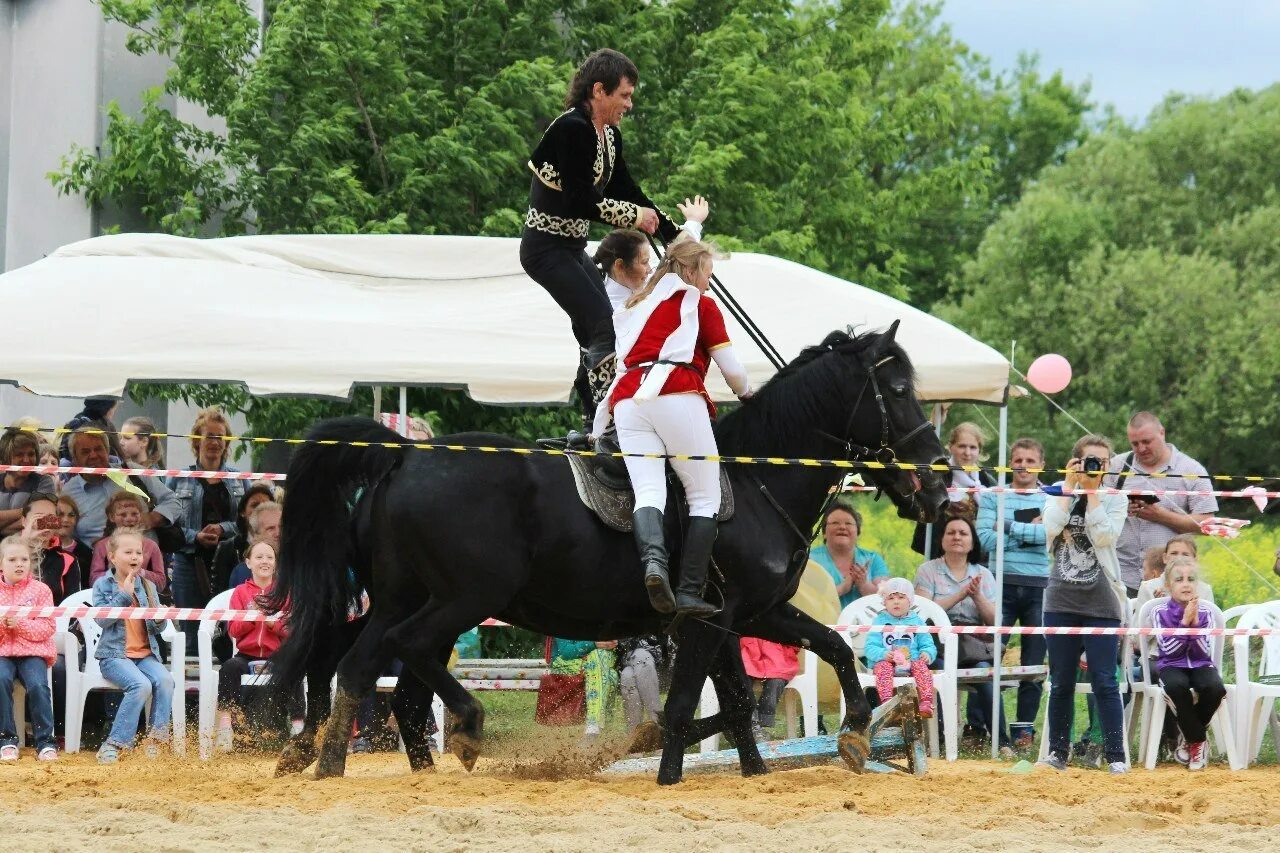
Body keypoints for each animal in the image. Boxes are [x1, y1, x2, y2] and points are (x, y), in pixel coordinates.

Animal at [270, 322, 952, 778]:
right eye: (896, 389)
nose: (939, 481)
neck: (760, 479)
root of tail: (404, 453)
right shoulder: (713, 621)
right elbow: (687, 705)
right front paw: (669, 773)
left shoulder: (748, 615)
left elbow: (798, 666)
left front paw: (849, 734)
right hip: (464, 599)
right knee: (397, 657)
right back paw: (461, 729)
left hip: (402, 597)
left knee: (357, 665)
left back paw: (328, 761)